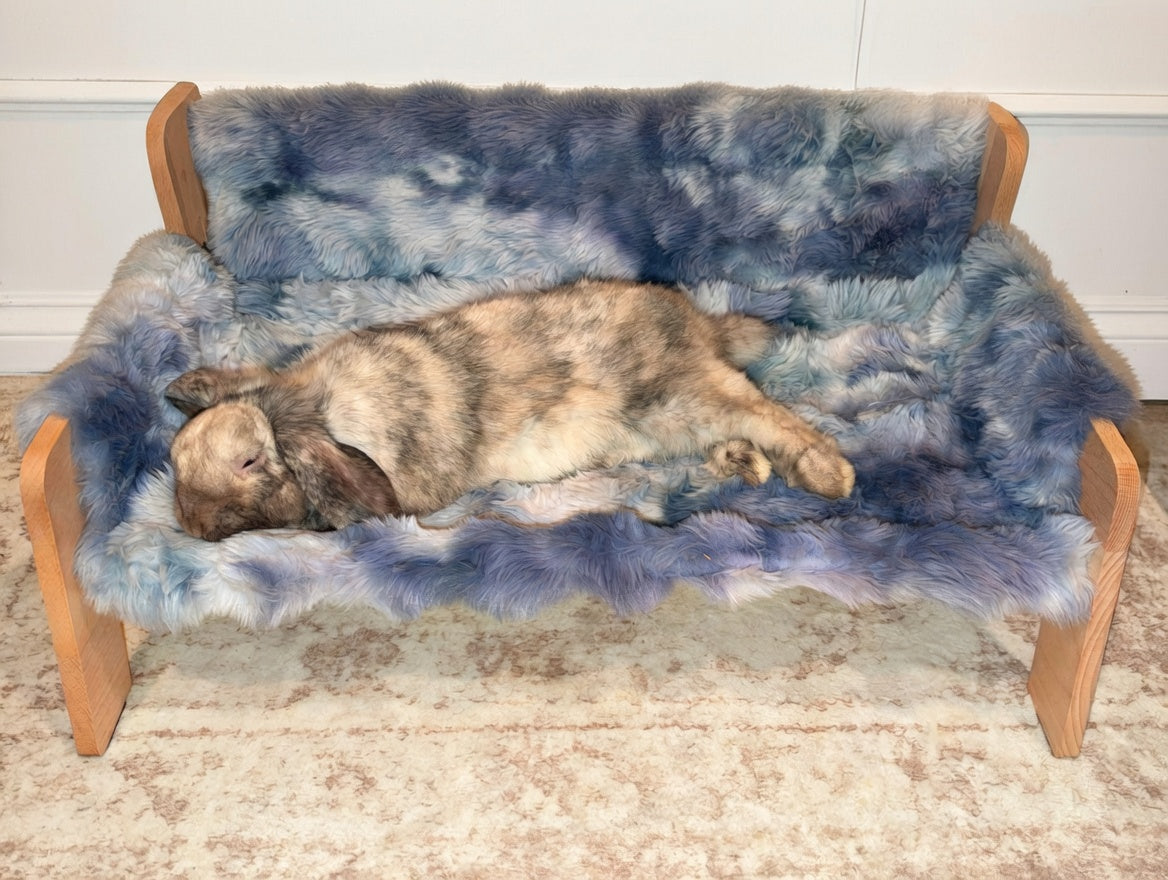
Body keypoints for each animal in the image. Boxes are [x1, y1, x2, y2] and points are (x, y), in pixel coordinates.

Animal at [166, 279, 855, 541]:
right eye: (174, 457)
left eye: (249, 461)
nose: (192, 527)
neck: (311, 411)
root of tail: (698, 325)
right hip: (670, 424)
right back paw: (745, 465)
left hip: (683, 394)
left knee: (767, 413)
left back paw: (832, 477)